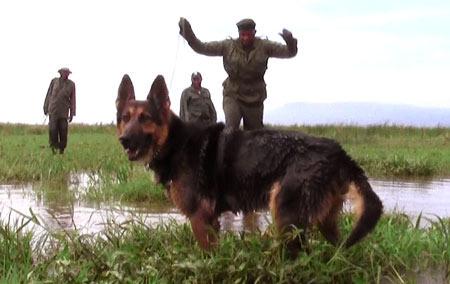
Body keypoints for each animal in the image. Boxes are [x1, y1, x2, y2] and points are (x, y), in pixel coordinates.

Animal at [116, 74, 384, 256]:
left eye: (145, 118)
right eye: (125, 118)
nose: (124, 140)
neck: (175, 142)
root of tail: (340, 152)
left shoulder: (200, 218)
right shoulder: (211, 221)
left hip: (285, 215)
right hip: (323, 222)